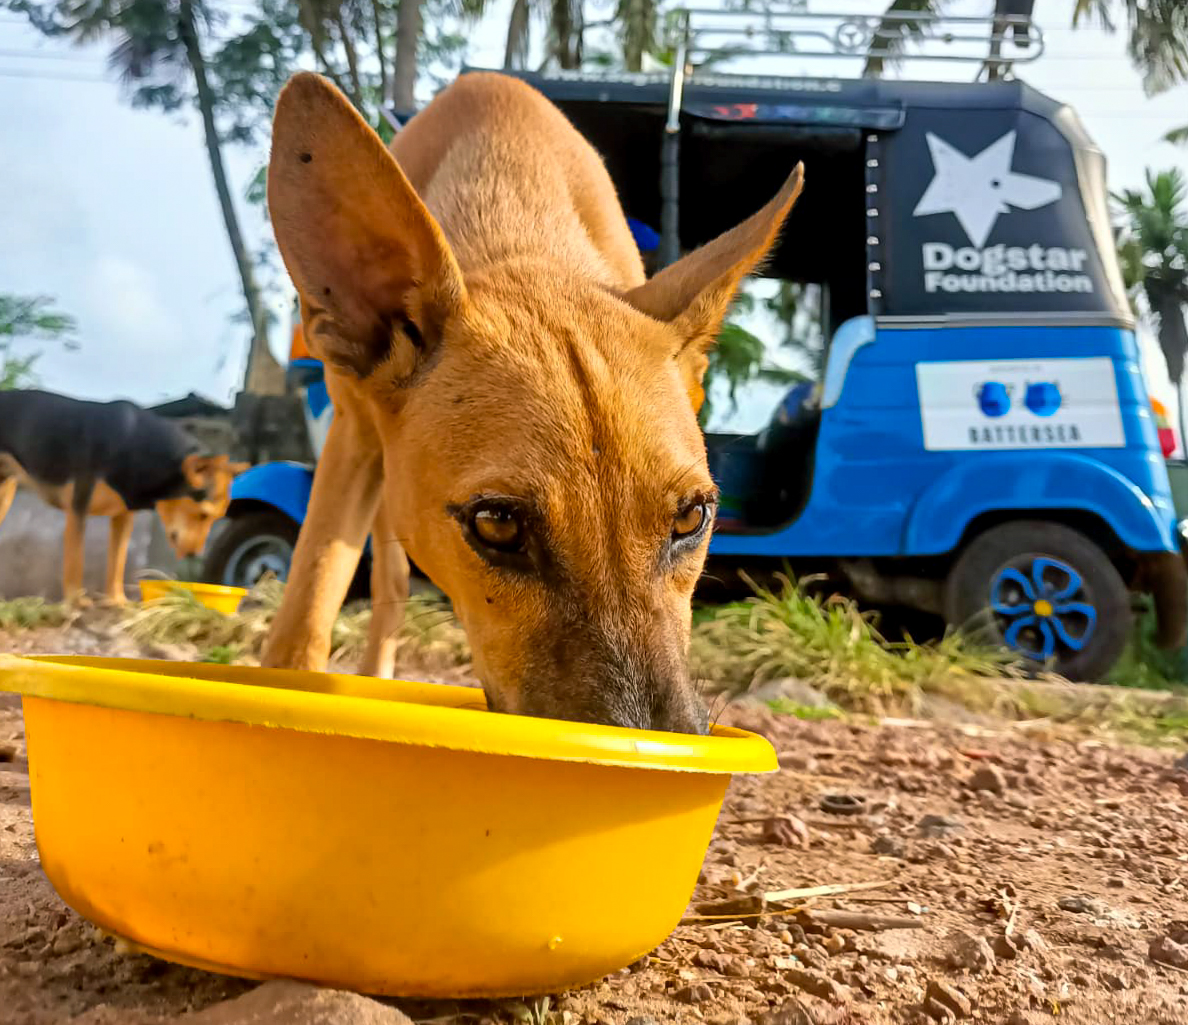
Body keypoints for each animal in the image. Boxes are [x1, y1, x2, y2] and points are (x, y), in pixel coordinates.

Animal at [0, 391, 245, 600]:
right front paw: (76, 601)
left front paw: (117, 600)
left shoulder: (123, 517)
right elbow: (75, 561)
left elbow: (117, 562)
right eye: (203, 515)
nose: (195, 555)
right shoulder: (78, 508)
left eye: (215, 518)